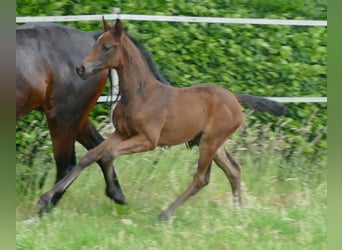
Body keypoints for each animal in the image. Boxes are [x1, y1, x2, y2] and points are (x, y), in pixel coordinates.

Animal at [17, 21, 168, 210]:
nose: (82, 69)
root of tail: (89, 36)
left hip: (63, 117)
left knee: (66, 166)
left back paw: (42, 210)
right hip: (75, 117)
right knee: (98, 149)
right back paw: (116, 194)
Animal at [37, 18, 284, 220]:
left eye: (106, 46)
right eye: (94, 44)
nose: (81, 68)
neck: (140, 94)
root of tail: (234, 97)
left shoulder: (148, 140)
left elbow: (107, 155)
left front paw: (115, 194)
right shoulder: (121, 133)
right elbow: (90, 156)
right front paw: (46, 197)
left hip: (210, 142)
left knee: (201, 178)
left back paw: (165, 215)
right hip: (215, 143)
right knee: (233, 170)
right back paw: (238, 213)